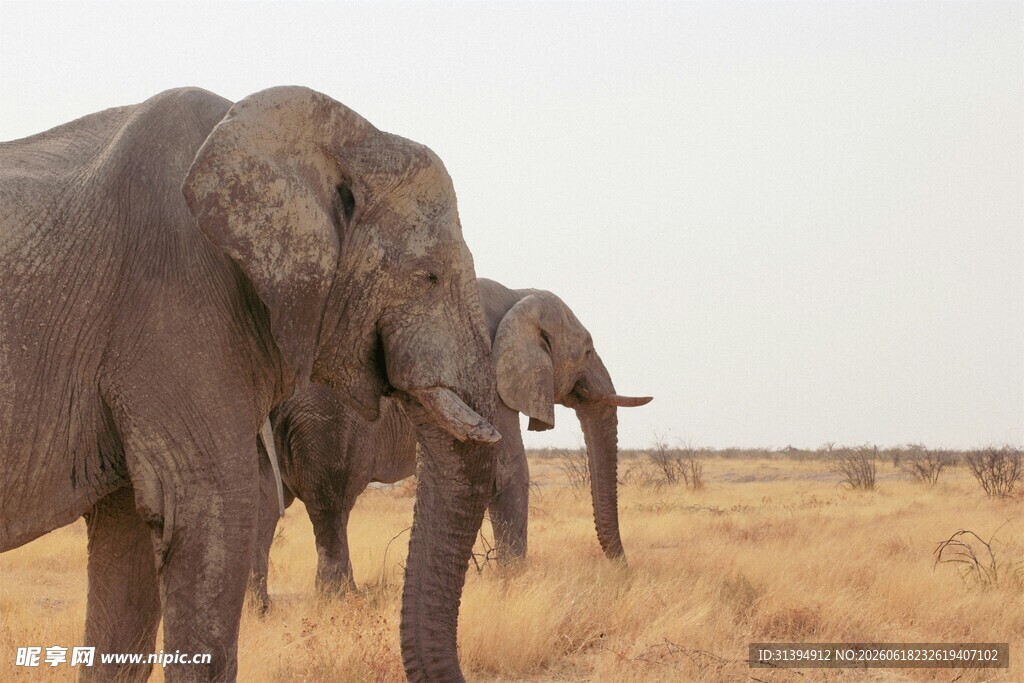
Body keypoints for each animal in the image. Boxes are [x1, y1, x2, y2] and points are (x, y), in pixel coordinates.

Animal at [251, 277, 652, 607]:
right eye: (587, 351)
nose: (624, 569)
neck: (517, 295)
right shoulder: (485, 375)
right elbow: (507, 472)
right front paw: (514, 586)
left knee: (264, 503)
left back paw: (260, 610)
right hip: (323, 421)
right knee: (331, 506)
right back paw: (343, 601)